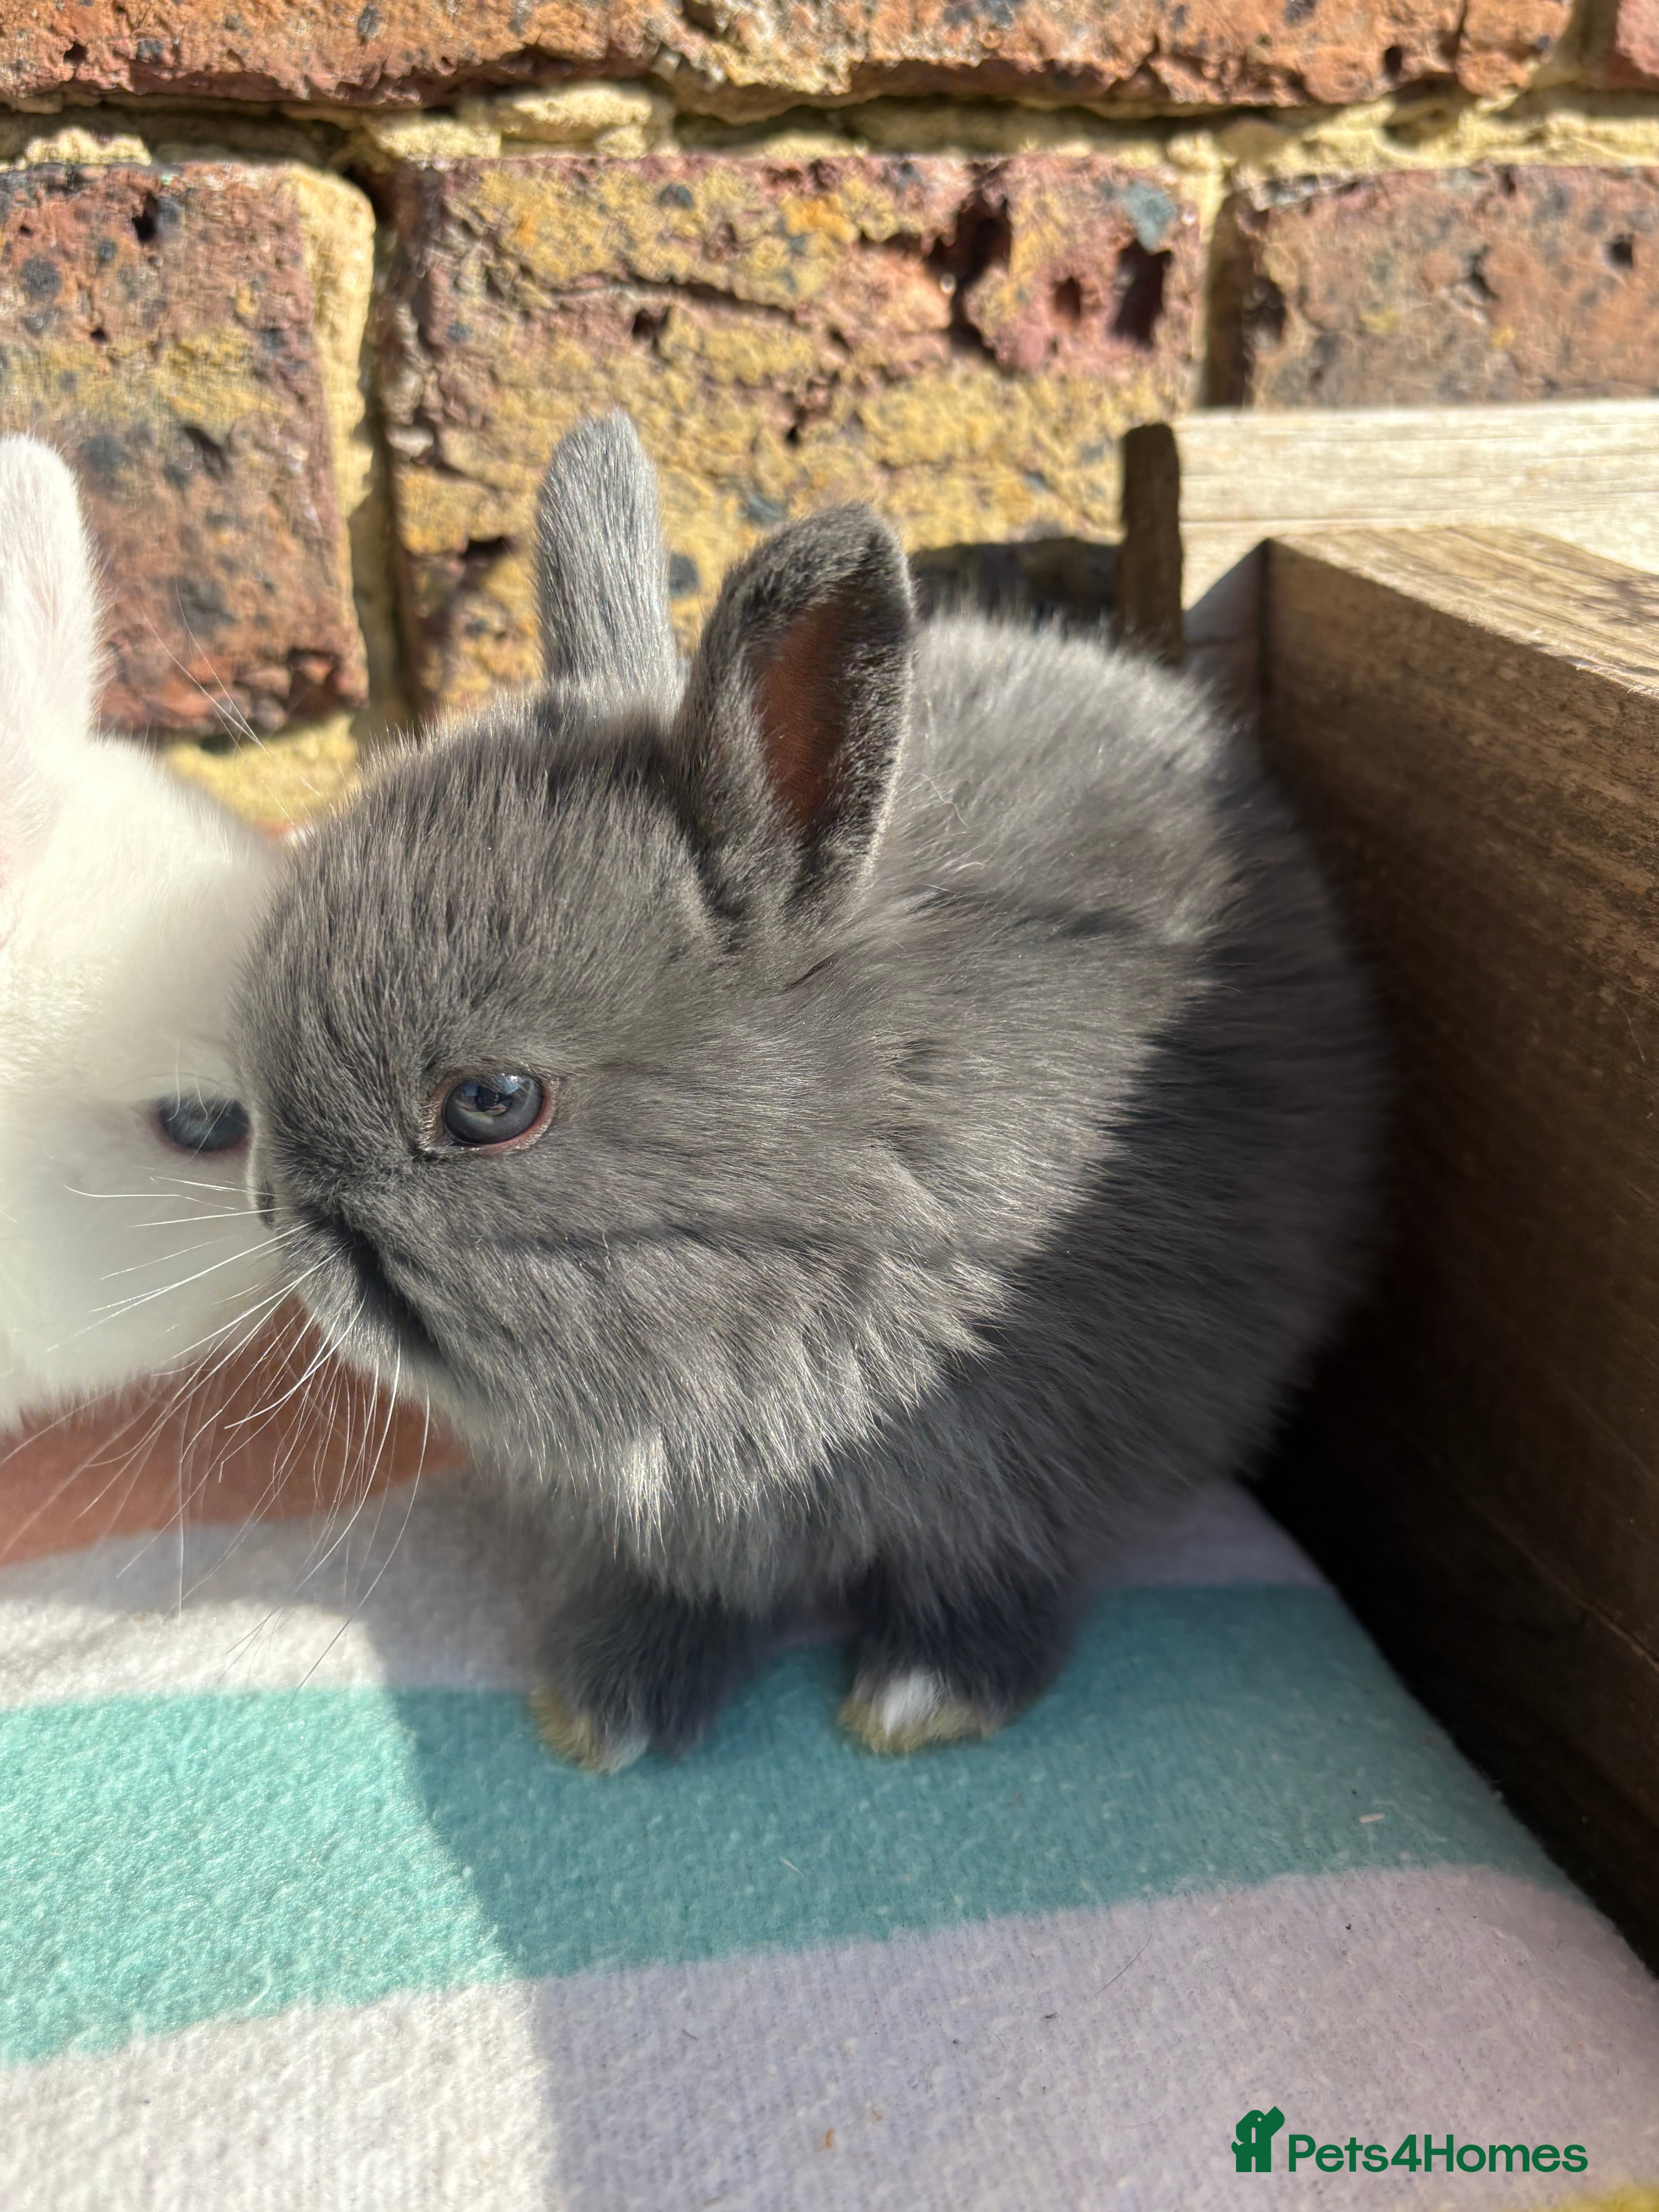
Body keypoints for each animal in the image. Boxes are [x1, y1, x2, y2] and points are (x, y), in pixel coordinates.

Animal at [233, 412, 1382, 1770]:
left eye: (492, 1102)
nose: (275, 1211)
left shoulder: (1033, 1482)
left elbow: (990, 1582)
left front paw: (922, 1703)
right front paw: (607, 1707)